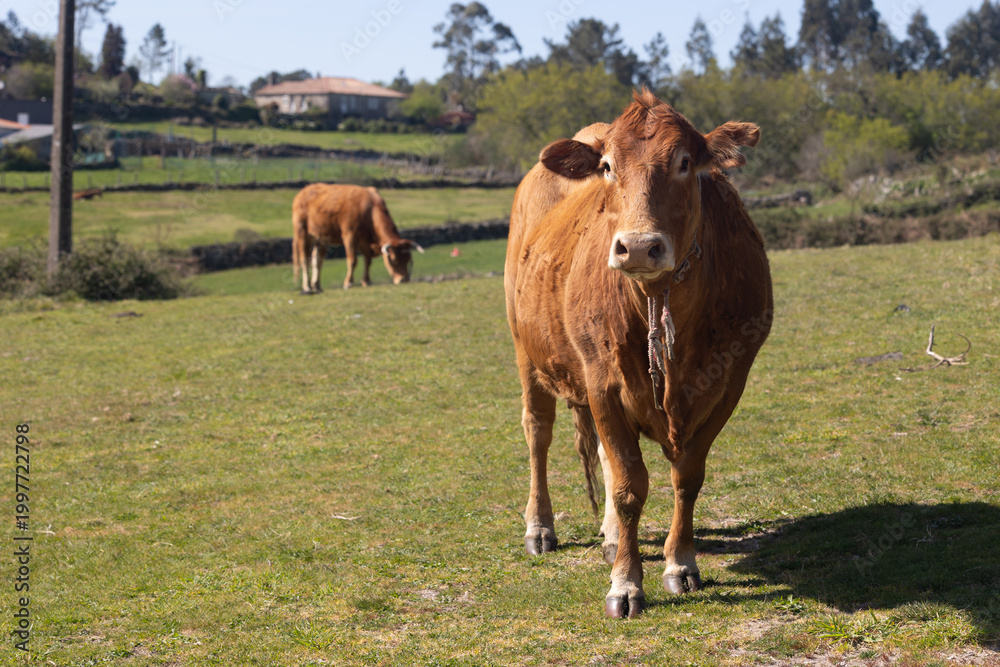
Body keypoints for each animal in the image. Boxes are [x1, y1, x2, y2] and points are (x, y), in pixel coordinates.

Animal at [292, 183, 423, 294]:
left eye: (408, 259)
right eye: (394, 260)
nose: (403, 280)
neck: (369, 209)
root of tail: (303, 192)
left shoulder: (365, 241)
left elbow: (368, 260)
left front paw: (367, 281)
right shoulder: (349, 235)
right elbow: (352, 260)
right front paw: (348, 283)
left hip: (322, 239)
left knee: (317, 261)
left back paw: (317, 285)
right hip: (301, 234)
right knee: (304, 260)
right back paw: (307, 287)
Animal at [504, 90, 773, 619]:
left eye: (685, 163)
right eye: (608, 166)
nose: (639, 246)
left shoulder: (730, 381)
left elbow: (686, 476)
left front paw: (680, 562)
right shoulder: (602, 380)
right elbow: (631, 487)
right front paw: (625, 584)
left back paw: (610, 534)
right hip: (528, 353)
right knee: (538, 433)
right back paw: (540, 526)